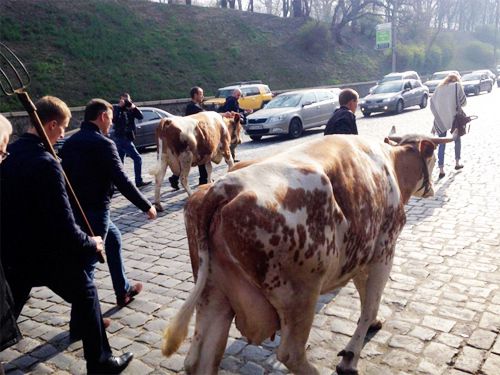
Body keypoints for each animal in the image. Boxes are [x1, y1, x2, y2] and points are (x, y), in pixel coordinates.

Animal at [160, 134, 454, 374]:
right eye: (431, 159)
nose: (432, 187)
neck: (391, 165)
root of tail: (224, 187)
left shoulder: (361, 255)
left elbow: (364, 294)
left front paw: (373, 323)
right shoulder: (384, 249)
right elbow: (370, 301)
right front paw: (351, 355)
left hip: (214, 295)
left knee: (199, 360)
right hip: (299, 295)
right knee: (290, 353)